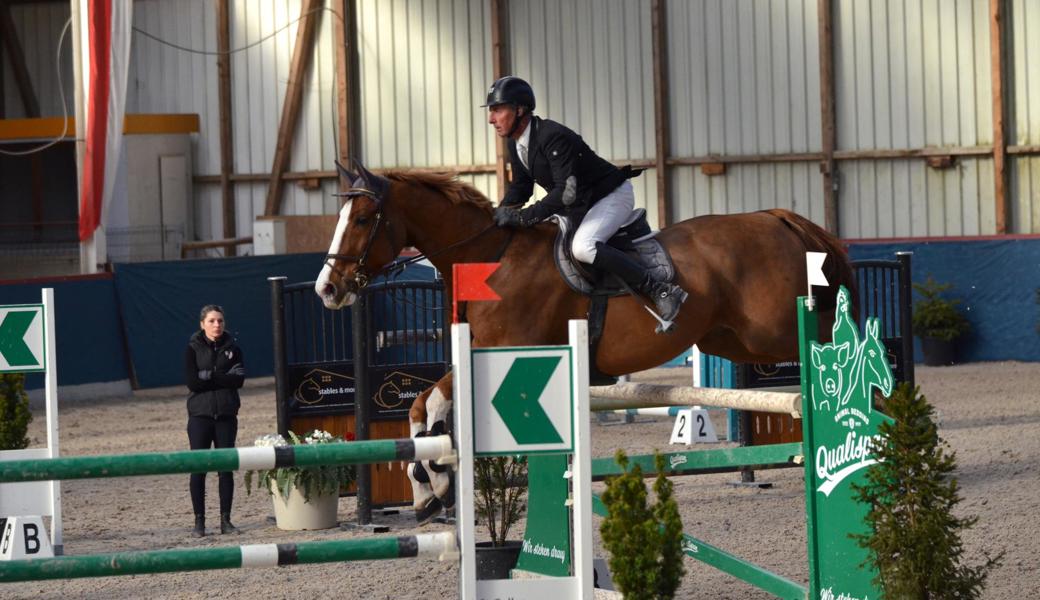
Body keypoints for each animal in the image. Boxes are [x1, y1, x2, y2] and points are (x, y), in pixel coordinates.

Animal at [314, 159, 852, 519]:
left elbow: (436, 401)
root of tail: (775, 216)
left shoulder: (507, 351)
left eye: (362, 220)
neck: (492, 259)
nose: (328, 289)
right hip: (735, 340)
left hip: (771, 328)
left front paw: (435, 478)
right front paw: (429, 486)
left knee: (832, 343)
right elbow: (422, 404)